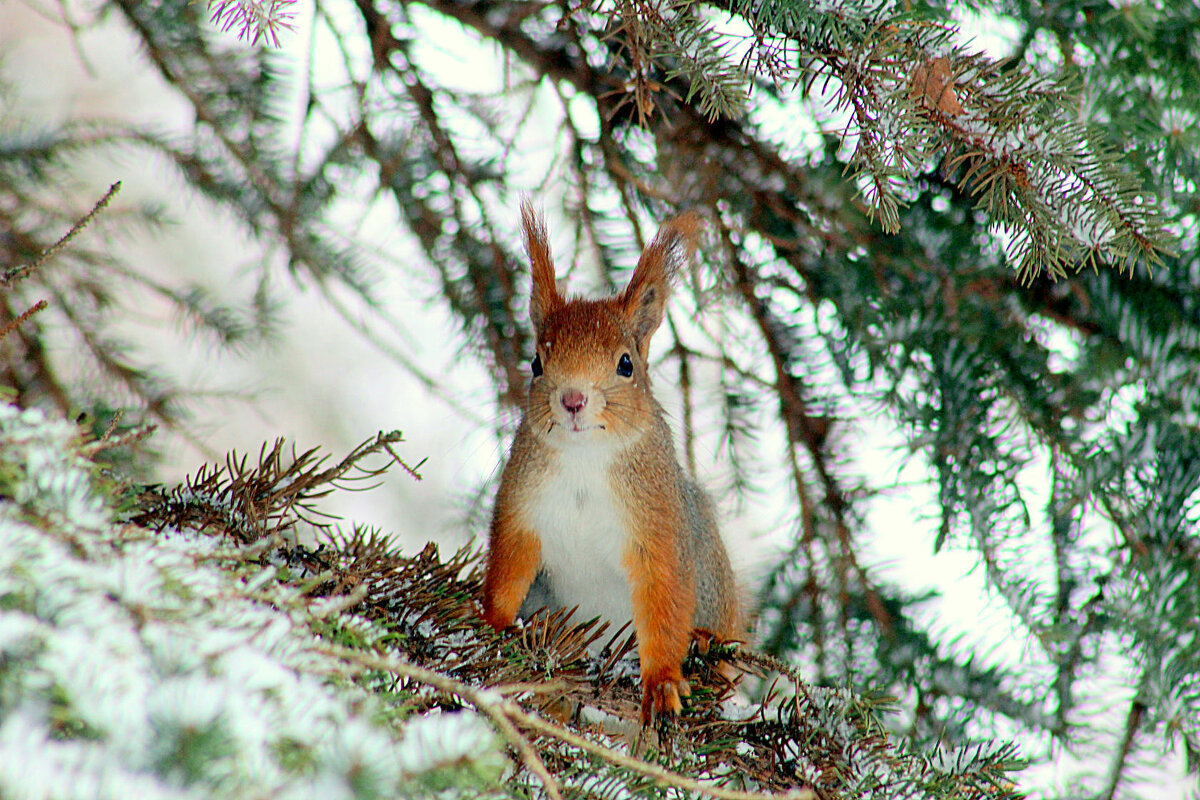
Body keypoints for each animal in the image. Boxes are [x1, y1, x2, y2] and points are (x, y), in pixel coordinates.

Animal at [480, 201, 739, 724]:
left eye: (626, 364)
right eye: (536, 363)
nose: (573, 399)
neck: (586, 460)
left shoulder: (659, 525)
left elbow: (664, 600)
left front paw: (662, 683)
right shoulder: (522, 509)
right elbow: (509, 569)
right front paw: (492, 624)